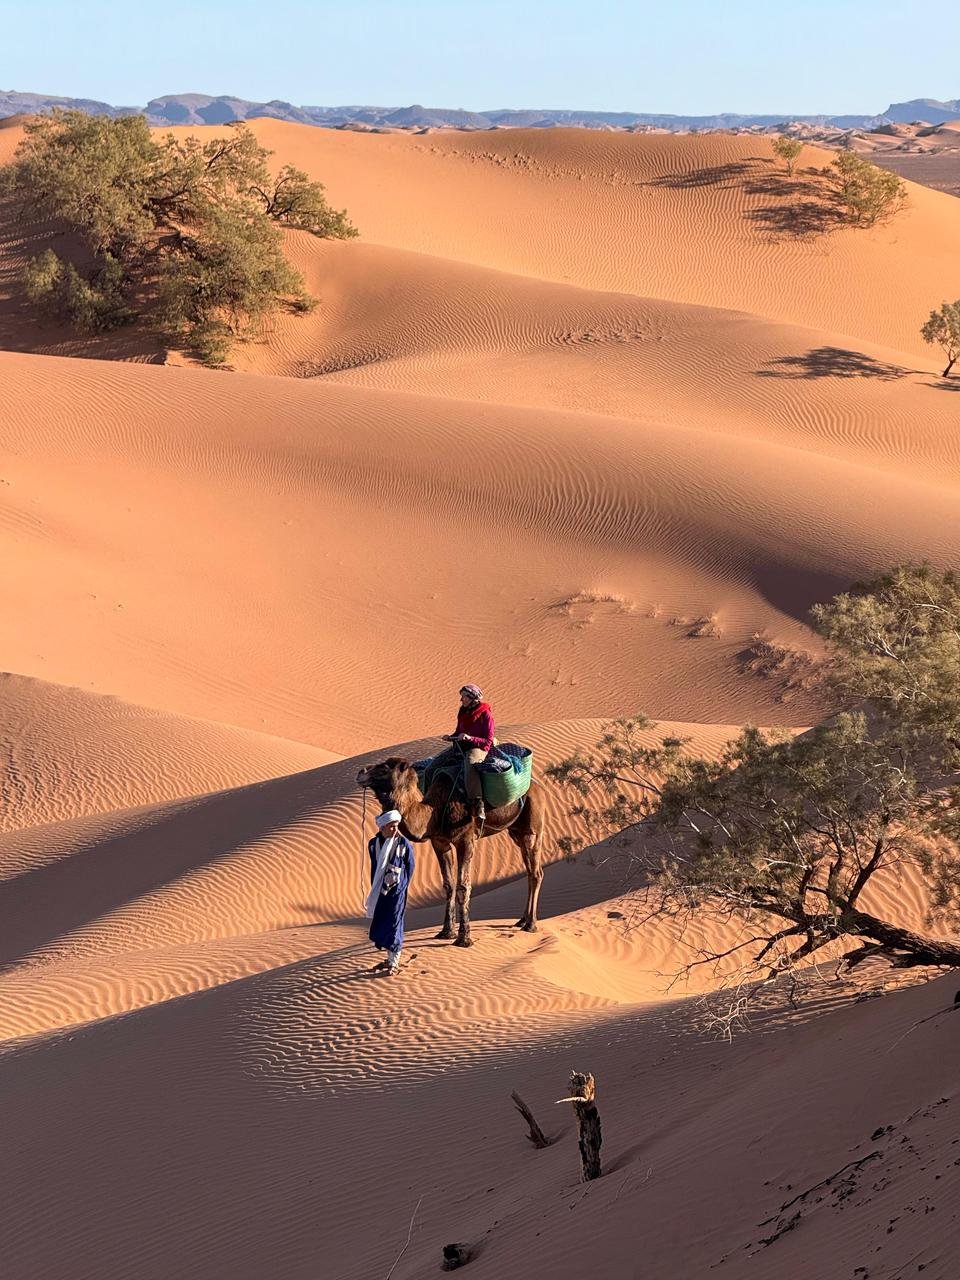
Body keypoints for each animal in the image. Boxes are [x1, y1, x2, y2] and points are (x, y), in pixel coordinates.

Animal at [355, 756, 545, 947]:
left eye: (385, 768)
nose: (361, 772)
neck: (435, 810)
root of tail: (539, 786)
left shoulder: (465, 840)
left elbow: (463, 886)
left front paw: (464, 938)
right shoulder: (440, 842)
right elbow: (449, 885)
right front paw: (446, 932)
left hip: (533, 827)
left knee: (536, 872)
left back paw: (531, 924)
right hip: (516, 832)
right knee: (531, 871)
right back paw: (522, 920)